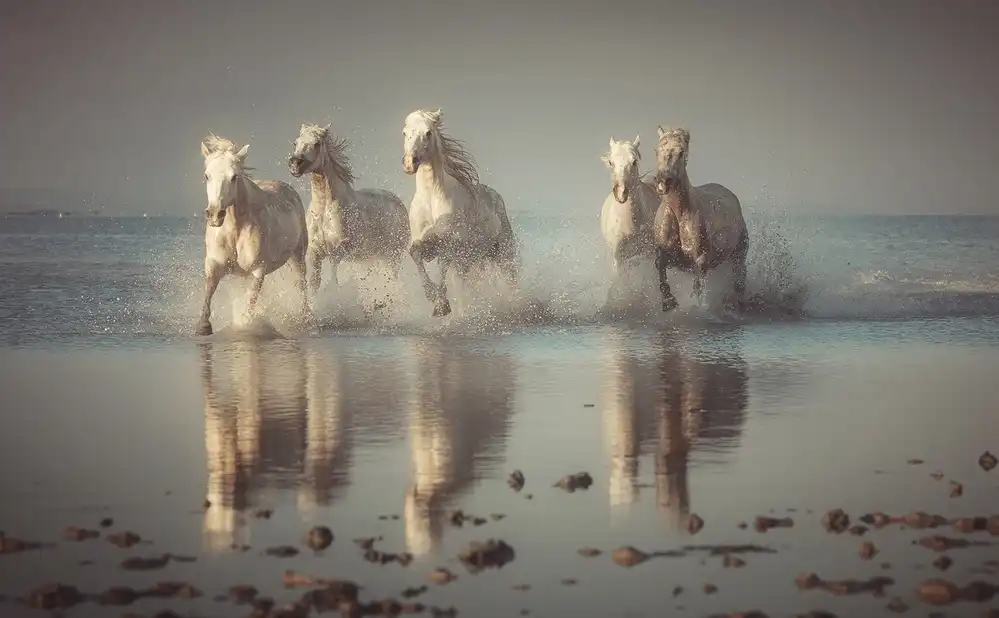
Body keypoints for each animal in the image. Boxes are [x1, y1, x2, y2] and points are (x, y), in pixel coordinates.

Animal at [197, 133, 310, 336]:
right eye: (207, 175)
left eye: (234, 177)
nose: (215, 214)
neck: (235, 231)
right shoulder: (214, 264)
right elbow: (210, 288)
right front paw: (203, 326)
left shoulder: (257, 271)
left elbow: (249, 303)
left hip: (298, 255)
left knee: (301, 284)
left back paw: (305, 318)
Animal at [288, 123, 410, 299]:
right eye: (295, 142)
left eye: (317, 143)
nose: (295, 164)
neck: (324, 211)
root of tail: (398, 203)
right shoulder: (315, 253)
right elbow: (314, 284)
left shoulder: (337, 251)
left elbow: (333, 282)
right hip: (376, 257)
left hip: (392, 256)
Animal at [401, 108, 519, 317]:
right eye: (405, 133)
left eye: (428, 133)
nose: (409, 163)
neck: (432, 199)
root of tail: (496, 196)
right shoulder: (424, 242)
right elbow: (414, 253)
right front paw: (431, 294)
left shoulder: (450, 244)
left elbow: (443, 266)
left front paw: (441, 305)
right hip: (470, 261)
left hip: (503, 254)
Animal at [651, 126, 749, 312]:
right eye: (657, 150)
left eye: (681, 152)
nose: (662, 182)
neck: (679, 215)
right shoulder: (666, 253)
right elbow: (659, 265)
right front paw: (668, 301)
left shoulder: (700, 260)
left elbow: (698, 287)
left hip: (739, 252)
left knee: (739, 275)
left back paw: (734, 301)